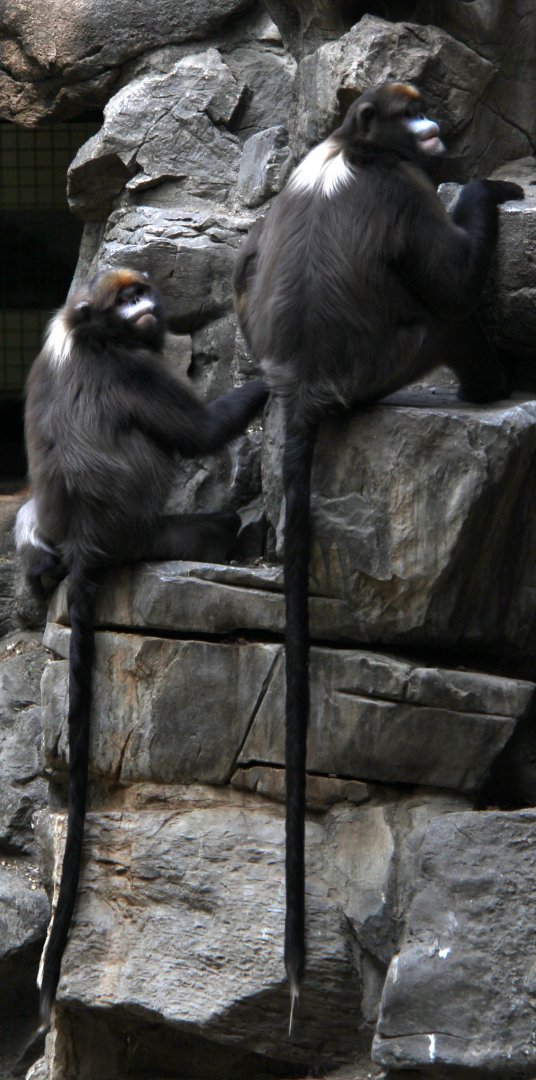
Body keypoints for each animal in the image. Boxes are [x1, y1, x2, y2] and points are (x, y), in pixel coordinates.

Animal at [16, 267, 268, 1029]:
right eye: (128, 301)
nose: (151, 307)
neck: (88, 334)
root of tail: (85, 546)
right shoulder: (133, 370)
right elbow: (204, 431)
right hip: (151, 536)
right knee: (207, 522)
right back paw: (235, 534)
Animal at [232, 82, 523, 1020]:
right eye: (409, 115)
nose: (434, 129)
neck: (352, 149)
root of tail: (300, 386)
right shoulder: (404, 191)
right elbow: (452, 274)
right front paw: (487, 189)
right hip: (397, 356)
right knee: (449, 312)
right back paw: (491, 385)